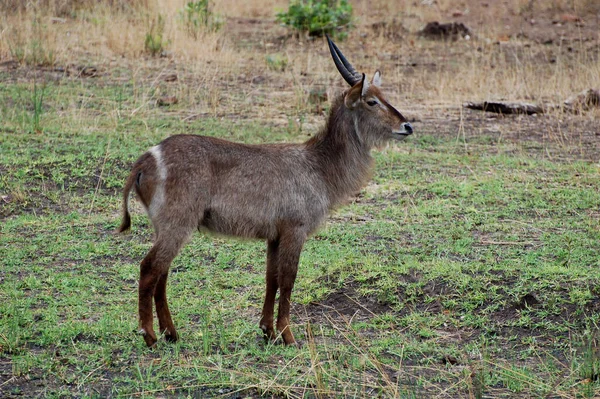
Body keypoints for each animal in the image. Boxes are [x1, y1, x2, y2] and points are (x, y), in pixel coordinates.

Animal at [119, 38, 414, 350]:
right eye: (372, 101)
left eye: (384, 95)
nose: (407, 126)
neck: (319, 165)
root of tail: (146, 158)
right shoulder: (295, 229)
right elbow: (288, 280)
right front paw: (288, 335)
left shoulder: (274, 235)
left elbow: (270, 279)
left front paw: (267, 331)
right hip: (178, 224)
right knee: (149, 268)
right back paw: (150, 335)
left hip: (167, 227)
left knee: (161, 273)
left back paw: (171, 333)